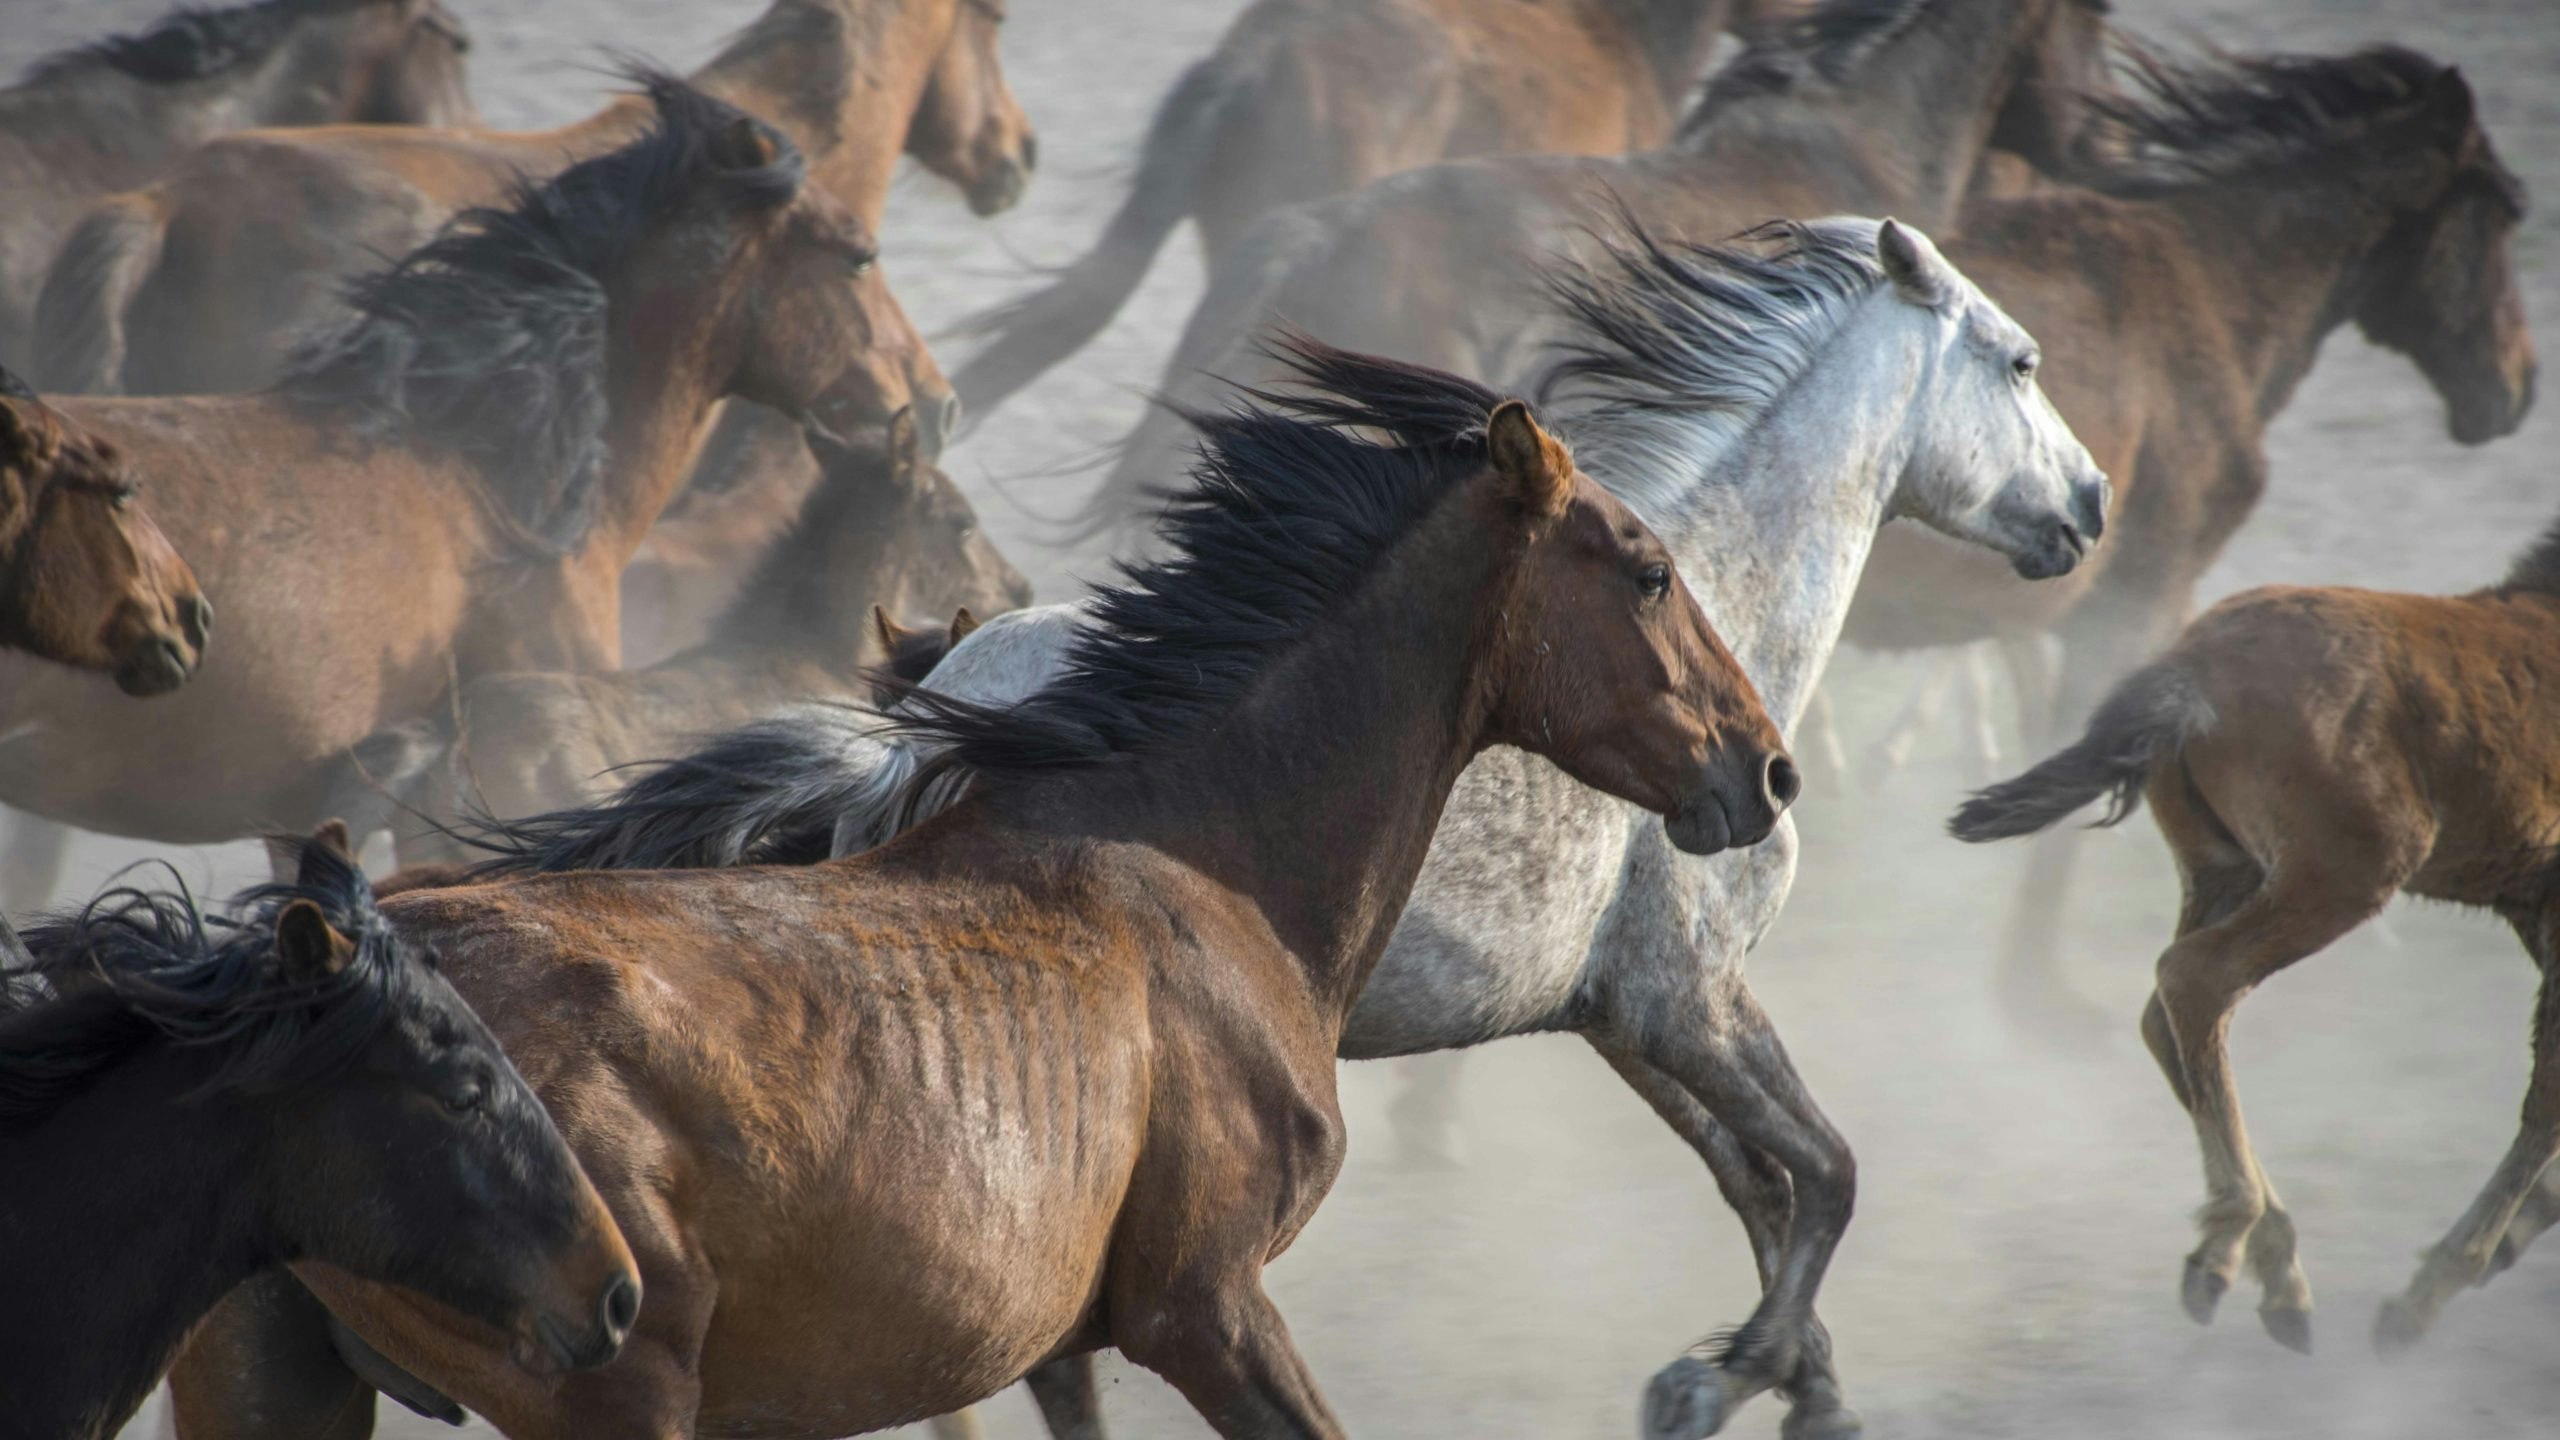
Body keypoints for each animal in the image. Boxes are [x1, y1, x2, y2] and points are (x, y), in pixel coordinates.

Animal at [1950, 511, 2560, 1358]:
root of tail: (2192, 664)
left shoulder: (2532, 905)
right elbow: (2549, 1093)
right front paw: (2433, 1289)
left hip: (2226, 869)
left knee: (2166, 1013)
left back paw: (2277, 1274)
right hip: (2345, 873)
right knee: (2197, 980)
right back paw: (2228, 1254)